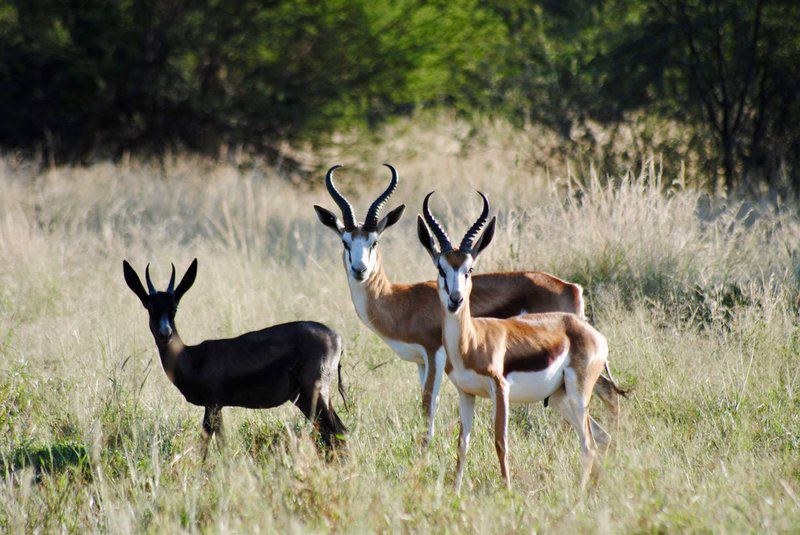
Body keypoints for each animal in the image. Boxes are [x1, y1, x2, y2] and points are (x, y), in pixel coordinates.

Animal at [122, 258, 346, 452]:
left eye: (174, 309)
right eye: (150, 308)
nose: (165, 333)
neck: (191, 357)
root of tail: (336, 337)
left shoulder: (212, 404)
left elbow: (206, 445)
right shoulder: (217, 406)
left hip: (316, 392)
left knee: (340, 433)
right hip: (303, 399)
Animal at [316, 164, 620, 444]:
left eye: (374, 241)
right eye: (345, 242)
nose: (359, 270)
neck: (400, 300)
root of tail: (571, 287)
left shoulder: (435, 355)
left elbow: (428, 404)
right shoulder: (421, 362)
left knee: (607, 394)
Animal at [416, 194, 628, 494]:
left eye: (469, 269)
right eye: (440, 268)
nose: (456, 299)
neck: (471, 342)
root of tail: (590, 331)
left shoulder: (500, 389)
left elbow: (500, 442)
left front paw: (507, 491)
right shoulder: (466, 393)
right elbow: (462, 443)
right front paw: (455, 491)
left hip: (578, 395)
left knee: (588, 444)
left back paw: (577, 497)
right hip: (561, 398)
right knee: (599, 436)